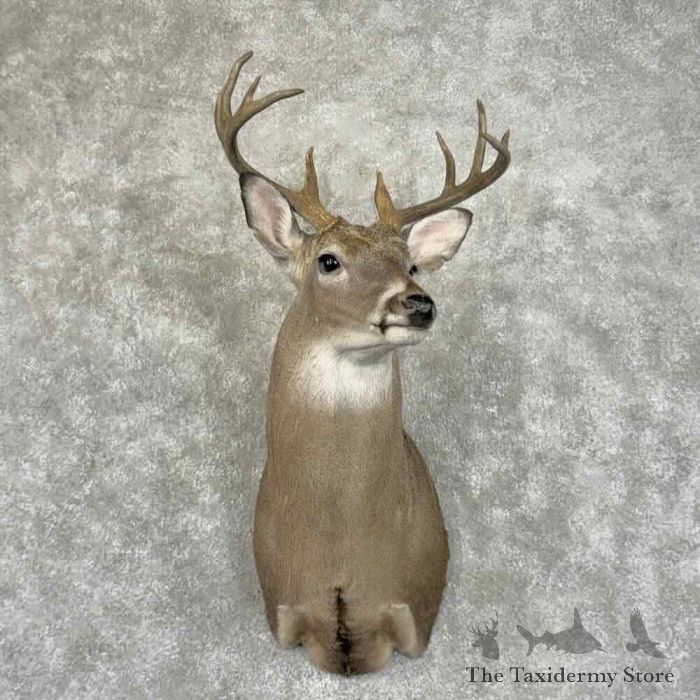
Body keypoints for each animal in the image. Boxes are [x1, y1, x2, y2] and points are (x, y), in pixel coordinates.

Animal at [214, 51, 510, 675]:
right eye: (328, 260)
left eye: (412, 265)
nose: (418, 303)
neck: (340, 550)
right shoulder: (280, 603)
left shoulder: (417, 604)